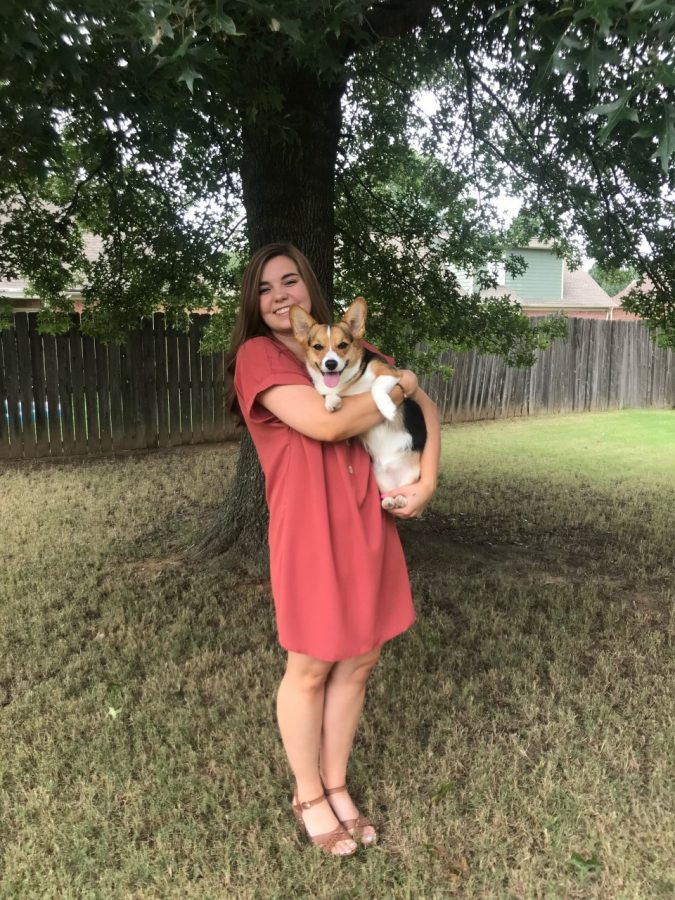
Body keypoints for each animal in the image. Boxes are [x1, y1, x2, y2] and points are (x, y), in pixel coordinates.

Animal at [290, 296, 428, 506]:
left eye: (343, 345)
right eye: (318, 347)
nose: (331, 364)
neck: (349, 381)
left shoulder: (391, 373)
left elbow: (376, 386)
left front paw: (387, 408)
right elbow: (326, 393)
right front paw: (332, 402)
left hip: (412, 476)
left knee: (404, 491)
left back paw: (400, 500)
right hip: (380, 476)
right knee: (388, 495)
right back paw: (389, 501)